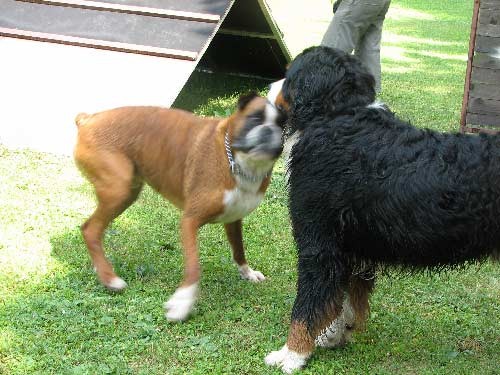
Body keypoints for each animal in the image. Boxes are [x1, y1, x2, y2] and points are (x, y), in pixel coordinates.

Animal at [74, 92, 286, 322]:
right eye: (255, 118)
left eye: (282, 125)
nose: (268, 130)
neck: (235, 160)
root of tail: (89, 118)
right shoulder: (190, 221)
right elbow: (194, 266)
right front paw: (183, 302)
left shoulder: (233, 219)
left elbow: (239, 249)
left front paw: (247, 273)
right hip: (119, 190)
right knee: (90, 229)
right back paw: (109, 279)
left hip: (128, 191)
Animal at [266, 47, 500, 374]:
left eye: (289, 75)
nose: (268, 87)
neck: (340, 116)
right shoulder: (349, 249)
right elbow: (340, 301)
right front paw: (333, 335)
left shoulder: (320, 244)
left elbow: (308, 306)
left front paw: (292, 354)